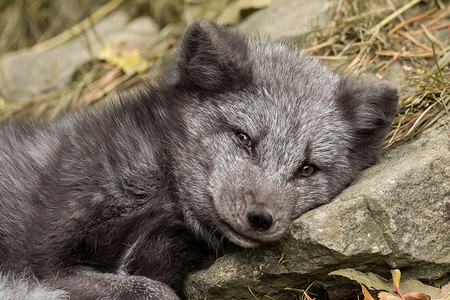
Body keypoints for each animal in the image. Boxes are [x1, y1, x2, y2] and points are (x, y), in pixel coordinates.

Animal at [1, 19, 400, 298]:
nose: (260, 218)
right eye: (244, 138)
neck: (162, 199)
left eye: (307, 168)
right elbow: (151, 291)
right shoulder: (43, 263)